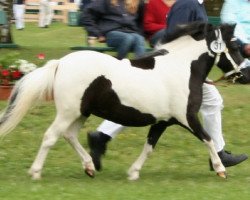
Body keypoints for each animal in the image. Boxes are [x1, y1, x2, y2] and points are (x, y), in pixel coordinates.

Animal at [0, 21, 250, 180]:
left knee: (69, 135)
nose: (246, 76)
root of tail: (60, 63)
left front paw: (133, 173)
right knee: (51, 136)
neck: (182, 68)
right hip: (68, 112)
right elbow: (208, 139)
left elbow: (149, 148)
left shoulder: (162, 121)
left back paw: (89, 167)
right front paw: (221, 170)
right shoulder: (186, 117)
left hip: (81, 112)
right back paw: (35, 172)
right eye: (235, 46)